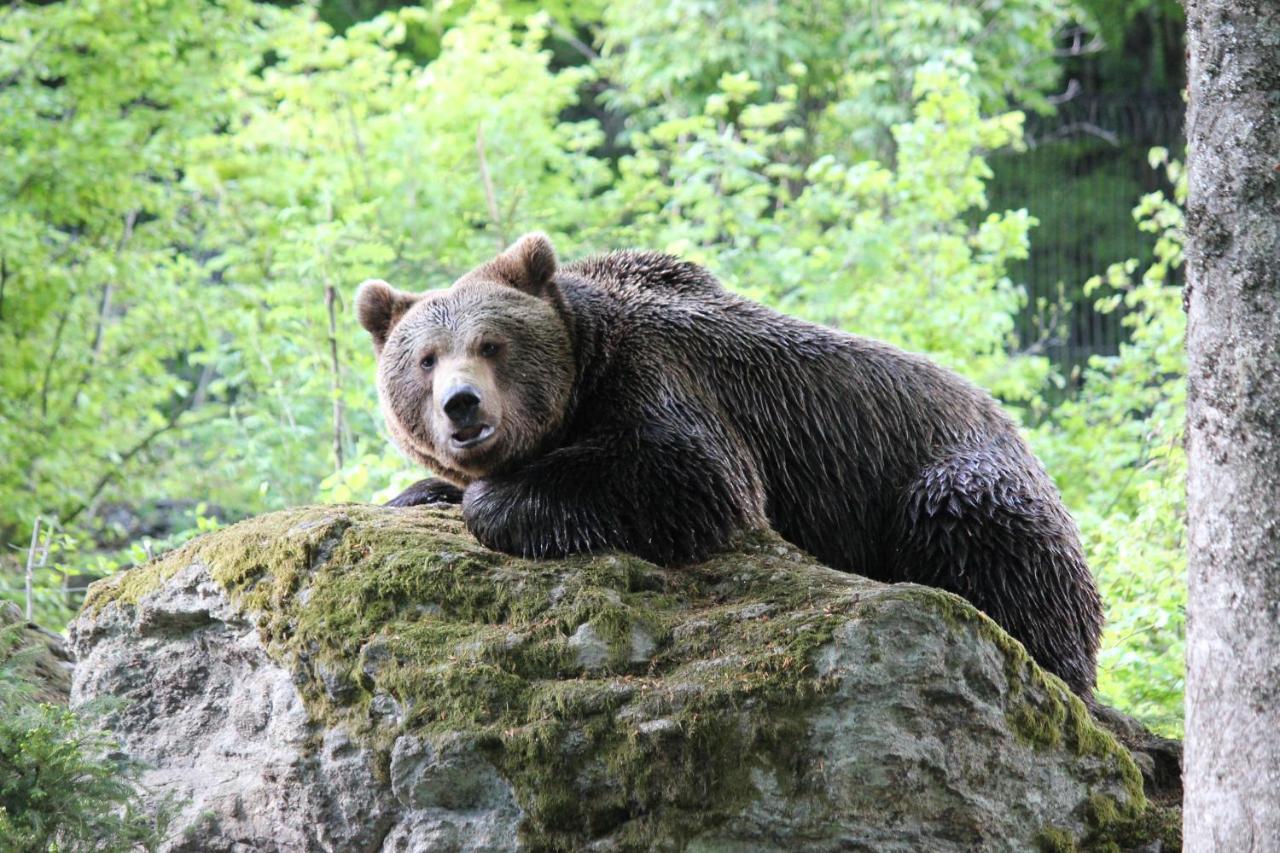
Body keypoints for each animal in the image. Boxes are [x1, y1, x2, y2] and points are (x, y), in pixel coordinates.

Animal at [355, 230, 1105, 691]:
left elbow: (686, 472)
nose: (462, 405)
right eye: (426, 359)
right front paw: (420, 492)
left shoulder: (664, 381)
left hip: (966, 477)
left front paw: (497, 500)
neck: (586, 369)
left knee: (975, 529)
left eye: (491, 344)